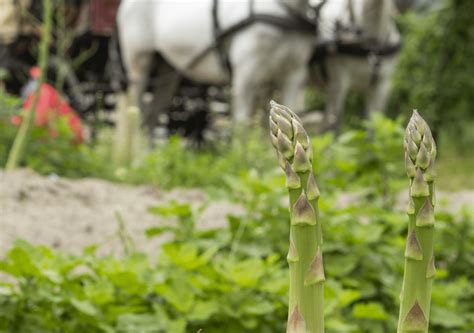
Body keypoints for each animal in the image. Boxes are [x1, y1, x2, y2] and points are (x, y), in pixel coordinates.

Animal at [115, 0, 314, 127]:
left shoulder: (293, 75)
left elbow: (286, 118)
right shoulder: (246, 77)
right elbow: (241, 124)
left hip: (167, 70)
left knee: (151, 117)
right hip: (139, 66)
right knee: (138, 116)